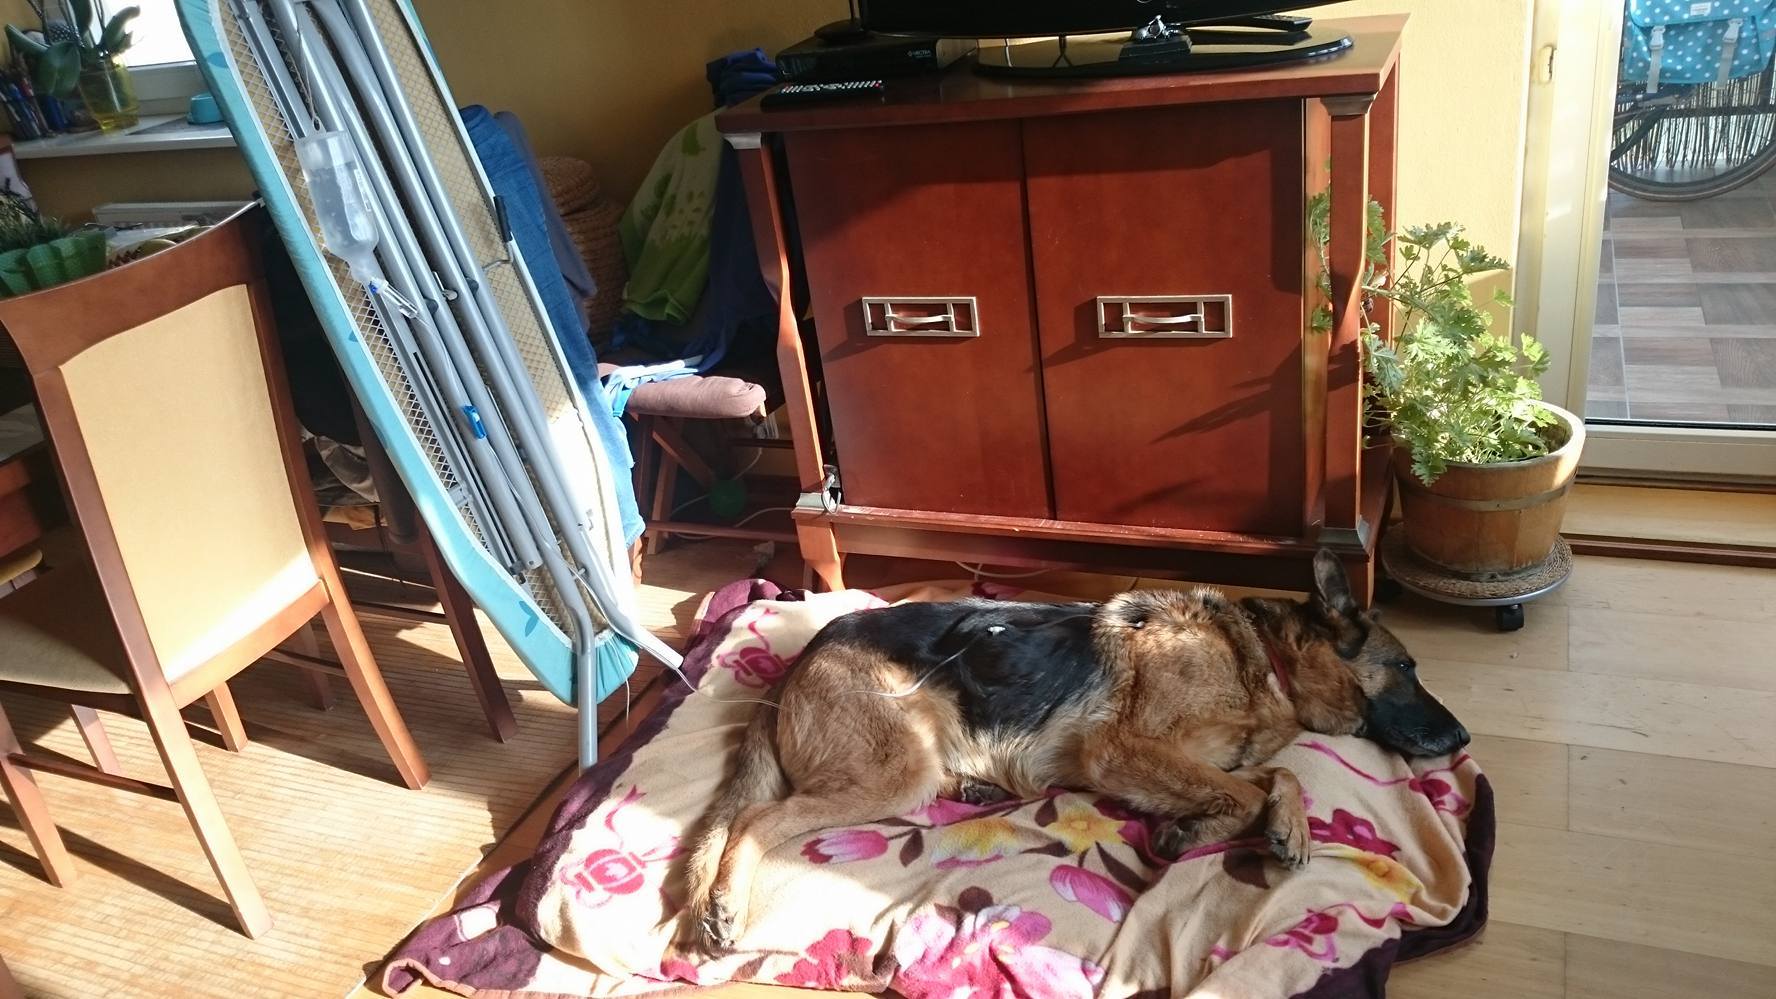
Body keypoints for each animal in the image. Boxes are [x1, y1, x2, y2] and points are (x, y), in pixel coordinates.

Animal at [679, 550, 1468, 952]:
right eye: (1407, 668)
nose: (1462, 739)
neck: (1262, 659)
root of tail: (800, 656)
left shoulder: (1192, 757)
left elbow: (1274, 775)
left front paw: (1274, 822)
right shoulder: (1120, 749)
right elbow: (1248, 787)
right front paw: (1205, 827)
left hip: (917, 762)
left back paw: (978, 788)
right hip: (893, 769)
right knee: (754, 821)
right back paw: (725, 903)